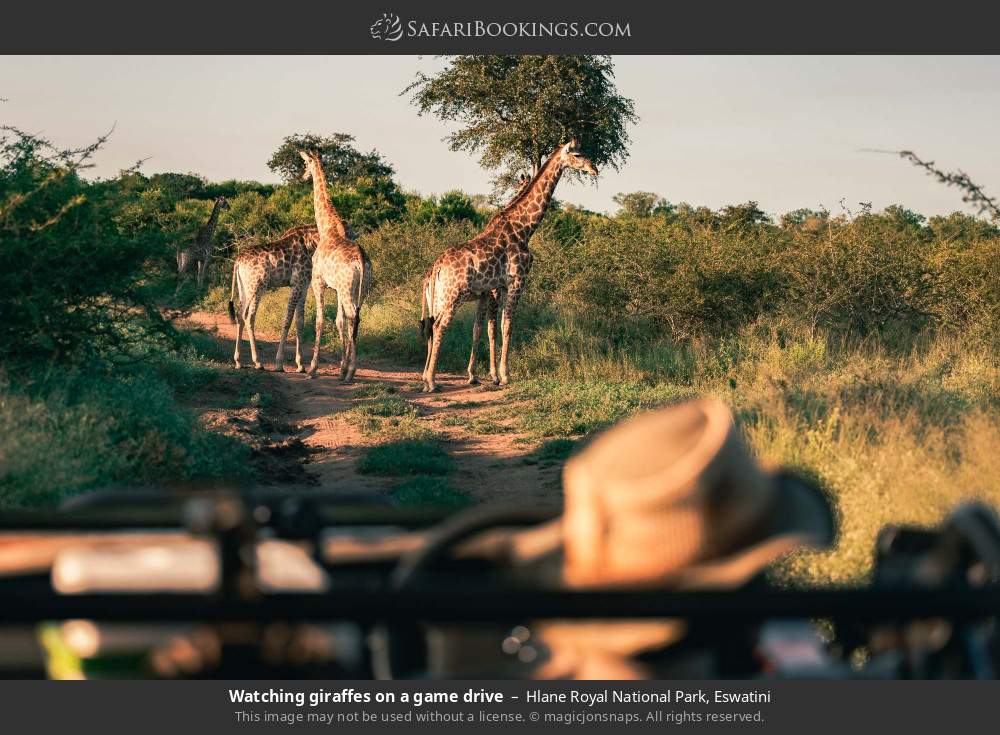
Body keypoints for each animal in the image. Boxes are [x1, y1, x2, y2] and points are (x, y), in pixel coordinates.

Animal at [228, 223, 318, 374]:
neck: (310, 244)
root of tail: (238, 261)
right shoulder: (297, 284)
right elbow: (288, 320)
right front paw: (279, 363)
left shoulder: (304, 285)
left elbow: (300, 321)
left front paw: (300, 365)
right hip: (257, 286)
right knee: (249, 316)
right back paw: (258, 362)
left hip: (243, 288)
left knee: (240, 314)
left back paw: (238, 361)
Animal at [300, 150, 376, 382]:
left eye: (305, 163)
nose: (303, 176)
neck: (327, 228)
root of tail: (361, 260)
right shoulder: (336, 289)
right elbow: (339, 322)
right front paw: (341, 365)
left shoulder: (318, 282)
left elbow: (320, 321)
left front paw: (313, 368)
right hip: (359, 289)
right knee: (356, 318)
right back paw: (347, 370)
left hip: (346, 288)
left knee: (353, 316)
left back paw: (351, 372)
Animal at [418, 138, 596, 392]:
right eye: (578, 154)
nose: (594, 169)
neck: (524, 228)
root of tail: (437, 267)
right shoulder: (516, 282)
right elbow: (505, 326)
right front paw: (504, 375)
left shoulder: (494, 289)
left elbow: (485, 328)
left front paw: (484, 375)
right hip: (454, 295)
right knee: (439, 327)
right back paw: (432, 381)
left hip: (440, 298)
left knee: (431, 326)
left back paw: (426, 378)